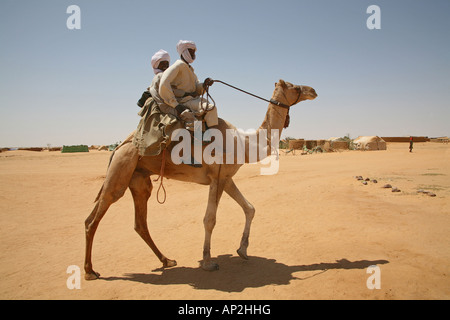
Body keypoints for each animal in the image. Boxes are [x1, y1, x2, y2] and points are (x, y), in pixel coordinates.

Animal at [84, 80, 316, 280]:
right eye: (295, 87)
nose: (313, 90)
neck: (243, 142)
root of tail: (119, 147)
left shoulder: (225, 177)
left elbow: (249, 208)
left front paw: (242, 250)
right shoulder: (217, 177)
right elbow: (210, 219)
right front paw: (208, 262)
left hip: (139, 178)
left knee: (139, 223)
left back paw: (167, 260)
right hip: (121, 169)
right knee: (93, 218)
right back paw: (90, 271)